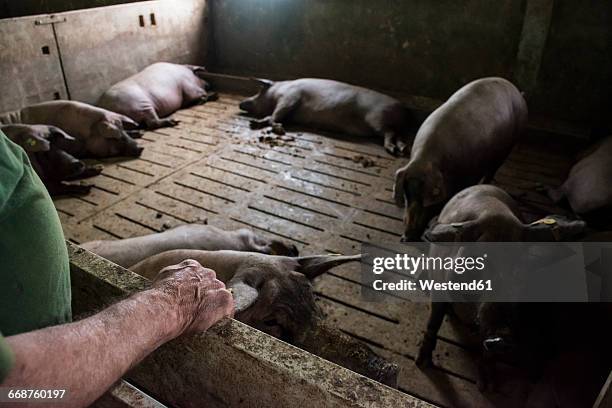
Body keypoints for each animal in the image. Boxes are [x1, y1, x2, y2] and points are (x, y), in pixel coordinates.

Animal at [237, 77, 414, 155]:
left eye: (259, 91)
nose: (241, 103)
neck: (276, 93)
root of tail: (403, 108)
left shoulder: (290, 97)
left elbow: (275, 116)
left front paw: (274, 128)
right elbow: (274, 117)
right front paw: (258, 124)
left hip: (377, 119)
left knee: (390, 133)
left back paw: (392, 149)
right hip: (389, 124)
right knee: (399, 135)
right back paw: (402, 149)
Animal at [394, 78, 528, 241]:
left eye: (427, 201)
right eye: (407, 196)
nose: (405, 237)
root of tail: (517, 91)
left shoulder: (469, 175)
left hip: (508, 148)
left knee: (492, 170)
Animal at [418, 184, 584, 388]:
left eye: (520, 266)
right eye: (477, 261)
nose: (502, 336)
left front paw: (488, 386)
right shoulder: (439, 289)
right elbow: (433, 322)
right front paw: (423, 364)